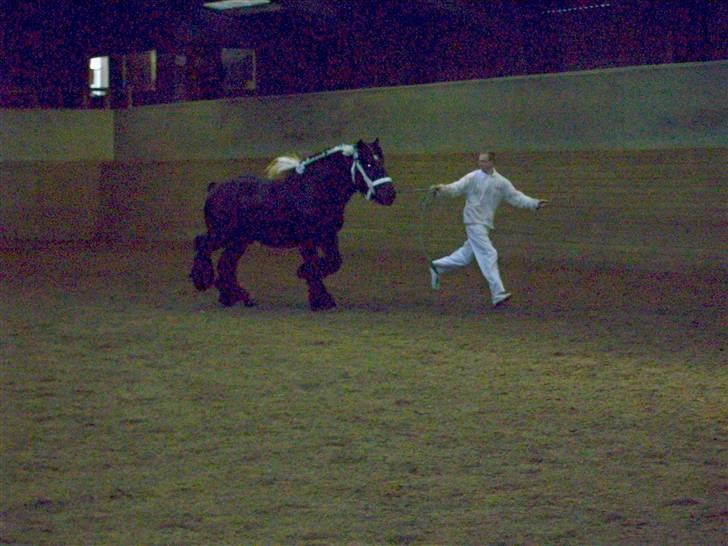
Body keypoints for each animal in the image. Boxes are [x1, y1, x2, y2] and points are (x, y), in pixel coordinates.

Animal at [188, 139, 392, 310]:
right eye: (368, 164)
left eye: (381, 162)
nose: (390, 195)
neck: (316, 191)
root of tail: (214, 187)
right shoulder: (307, 240)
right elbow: (313, 265)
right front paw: (321, 299)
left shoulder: (328, 237)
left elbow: (333, 262)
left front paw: (306, 278)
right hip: (221, 235)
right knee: (202, 244)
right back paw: (203, 280)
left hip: (239, 240)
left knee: (225, 264)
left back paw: (235, 296)